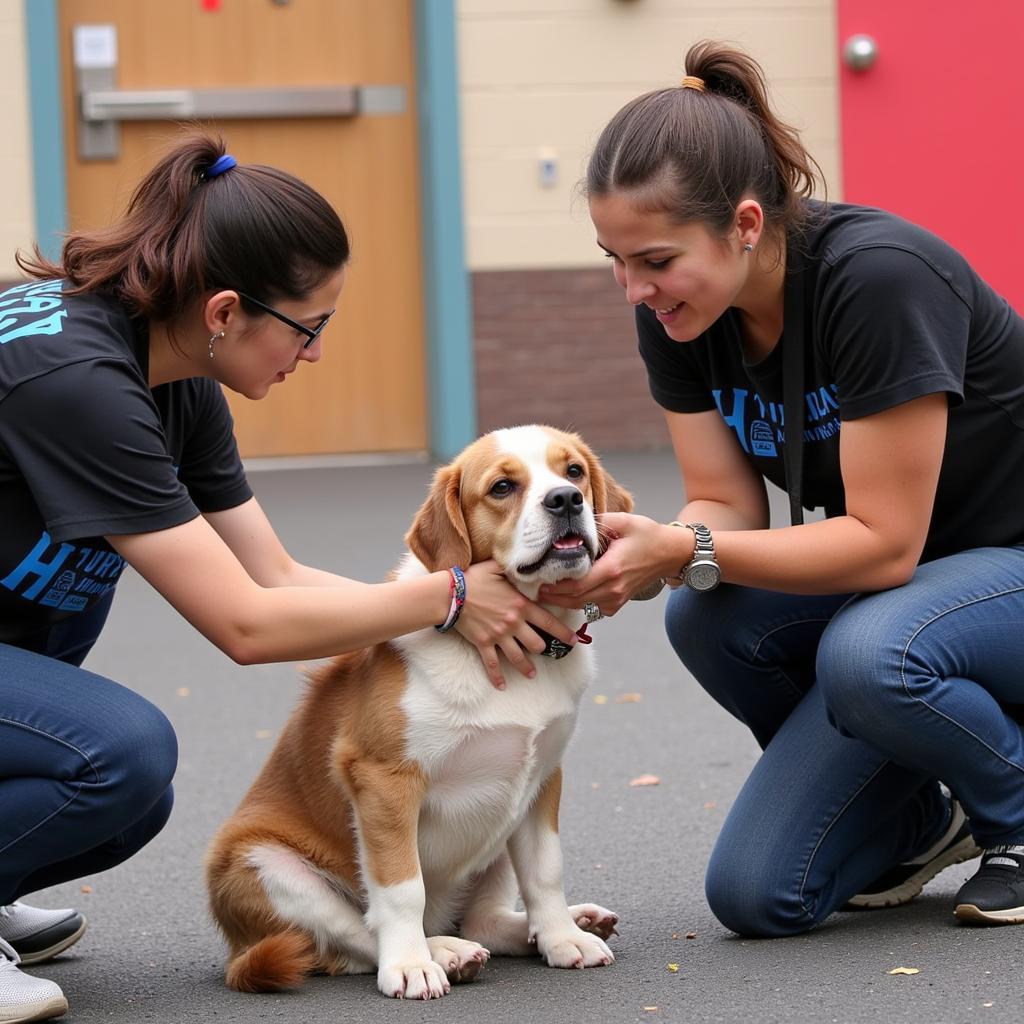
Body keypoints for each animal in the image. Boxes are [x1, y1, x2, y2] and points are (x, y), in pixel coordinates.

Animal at [206, 423, 630, 999]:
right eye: (502, 487)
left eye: (574, 472)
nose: (566, 500)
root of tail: (237, 951)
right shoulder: (383, 781)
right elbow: (402, 890)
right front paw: (409, 965)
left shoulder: (542, 776)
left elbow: (546, 870)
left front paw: (562, 936)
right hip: (263, 865)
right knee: (354, 939)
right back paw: (440, 952)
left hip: (502, 821)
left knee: (484, 921)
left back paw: (559, 924)